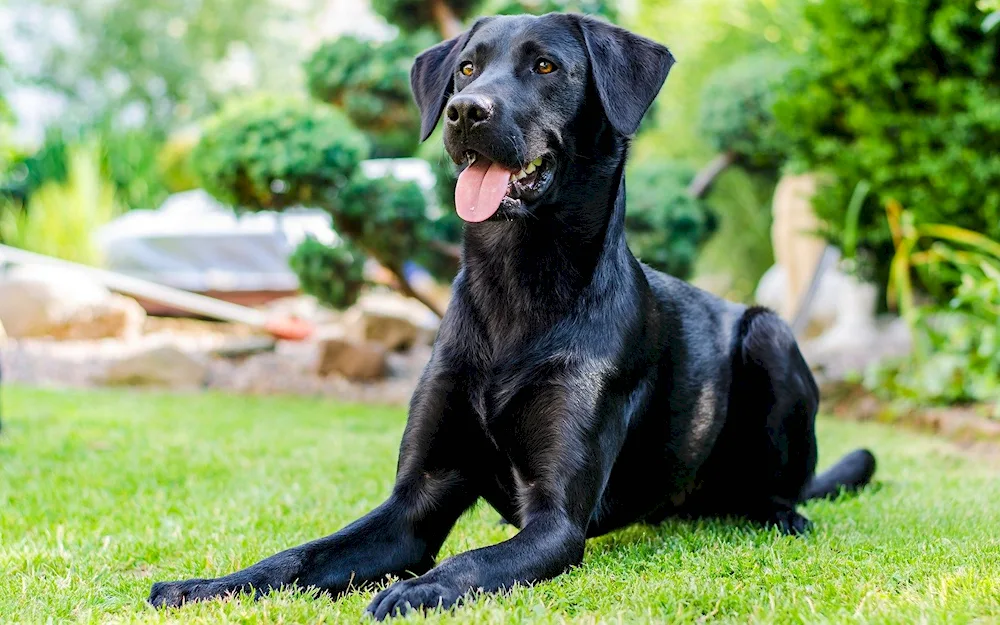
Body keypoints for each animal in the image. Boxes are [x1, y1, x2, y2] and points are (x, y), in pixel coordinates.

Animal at [148, 12, 876, 616]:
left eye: (546, 67)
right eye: (467, 68)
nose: (464, 112)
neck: (516, 287)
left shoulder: (555, 521)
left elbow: (473, 560)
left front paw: (421, 590)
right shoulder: (415, 502)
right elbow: (299, 554)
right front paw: (208, 585)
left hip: (769, 333)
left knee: (785, 482)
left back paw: (779, 513)